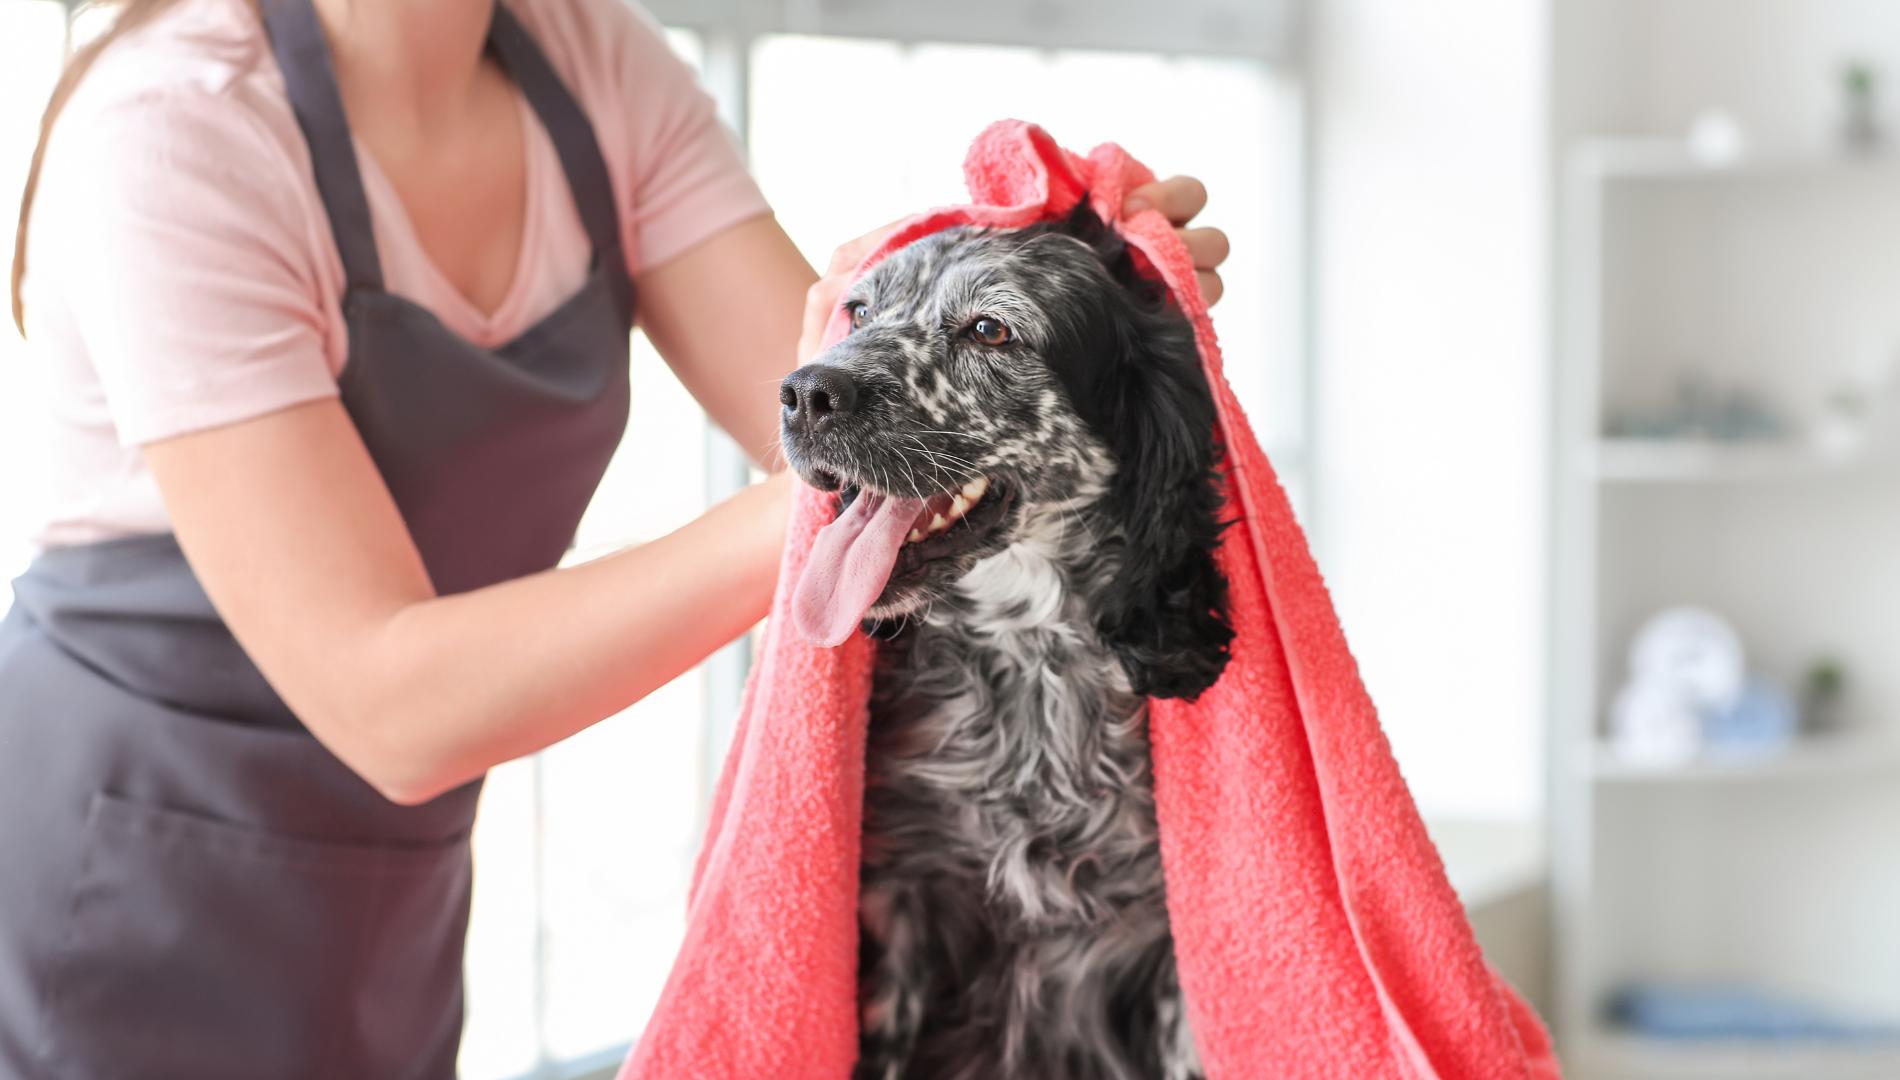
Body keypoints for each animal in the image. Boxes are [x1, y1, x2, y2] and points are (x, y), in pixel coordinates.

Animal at [779, 204, 1238, 1080]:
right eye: (859, 311)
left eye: (991, 330)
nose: (805, 393)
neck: (1033, 670)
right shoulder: (900, 907)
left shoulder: (1167, 944)